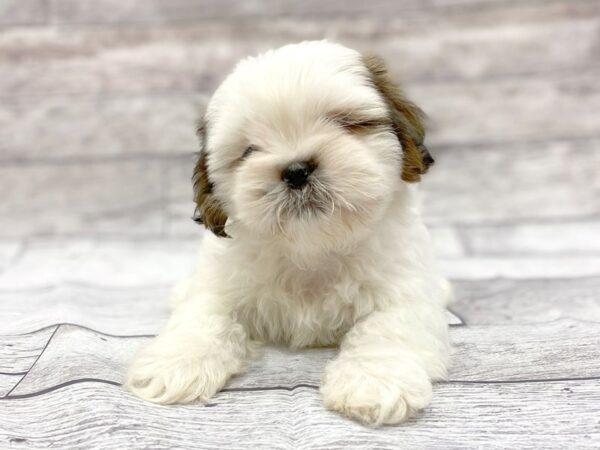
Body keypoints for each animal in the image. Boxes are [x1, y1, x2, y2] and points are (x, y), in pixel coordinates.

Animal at [127, 41, 450, 426]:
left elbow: (387, 328)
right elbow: (204, 314)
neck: (312, 248)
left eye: (345, 123)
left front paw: (372, 382)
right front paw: (178, 361)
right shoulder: (220, 281)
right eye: (249, 150)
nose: (296, 170)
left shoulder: (404, 289)